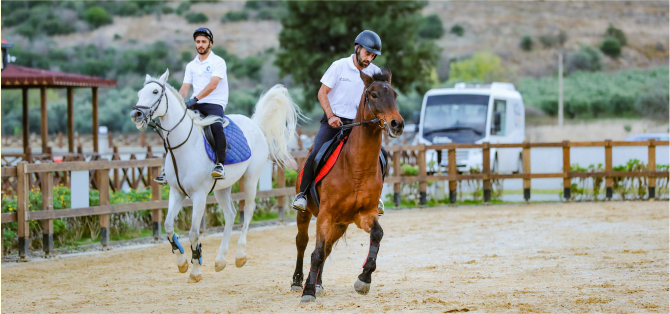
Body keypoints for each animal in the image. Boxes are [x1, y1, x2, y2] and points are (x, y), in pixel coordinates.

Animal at [131, 70, 300, 284]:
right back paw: (220, 260)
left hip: (250, 179)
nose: (136, 114)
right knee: (230, 214)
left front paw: (195, 270)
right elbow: (168, 226)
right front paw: (181, 261)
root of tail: (254, 124)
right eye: (139, 92)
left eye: (154, 91)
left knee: (248, 211)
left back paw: (239, 256)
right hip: (222, 188)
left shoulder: (199, 196)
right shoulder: (177, 192)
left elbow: (194, 234)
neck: (184, 146)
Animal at [292, 68, 404, 302]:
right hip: (306, 213)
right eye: (373, 95)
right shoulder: (325, 215)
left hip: (339, 223)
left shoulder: (364, 215)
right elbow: (315, 252)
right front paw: (308, 292)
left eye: (395, 95)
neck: (356, 167)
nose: (397, 124)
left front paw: (364, 279)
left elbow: (377, 234)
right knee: (303, 242)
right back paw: (298, 282)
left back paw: (318, 283)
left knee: (326, 248)